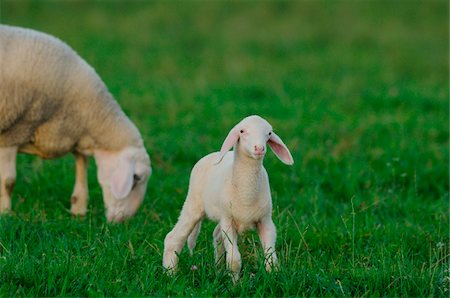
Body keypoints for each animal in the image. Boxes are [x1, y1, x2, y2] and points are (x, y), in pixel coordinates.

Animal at [0, 25, 151, 221]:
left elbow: (82, 169)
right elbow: (8, 181)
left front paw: (78, 210)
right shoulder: (12, 133)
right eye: (137, 178)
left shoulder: (76, 135)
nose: (123, 222)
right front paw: (5, 214)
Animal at [163, 114, 294, 282]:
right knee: (173, 238)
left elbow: (271, 259)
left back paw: (217, 269)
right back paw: (170, 274)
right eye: (242, 131)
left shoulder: (265, 221)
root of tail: (212, 154)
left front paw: (273, 279)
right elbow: (234, 260)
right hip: (193, 203)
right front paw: (236, 284)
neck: (246, 194)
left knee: (216, 236)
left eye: (269, 133)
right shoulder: (228, 221)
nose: (259, 148)